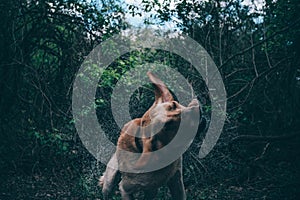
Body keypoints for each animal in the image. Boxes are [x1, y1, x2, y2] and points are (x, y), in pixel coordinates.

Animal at [99, 72, 200, 200]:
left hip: (152, 189)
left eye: (174, 104)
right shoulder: (125, 188)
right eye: (168, 126)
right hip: (109, 181)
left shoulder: (176, 179)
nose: (197, 108)